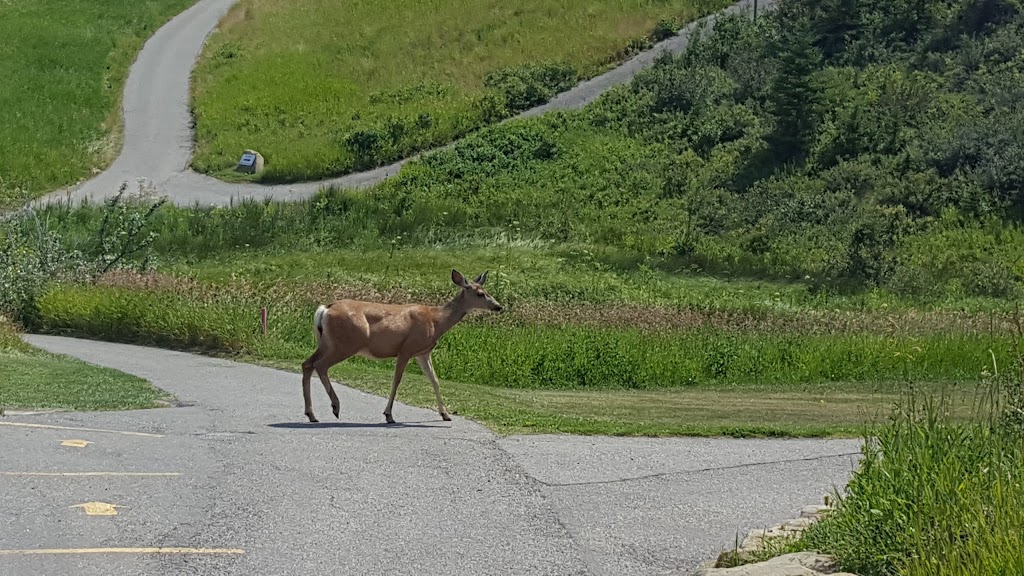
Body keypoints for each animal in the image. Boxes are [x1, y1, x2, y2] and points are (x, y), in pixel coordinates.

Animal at [299, 268, 503, 422]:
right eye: (480, 294)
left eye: (488, 291)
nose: (499, 307)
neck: (436, 321)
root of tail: (325, 309)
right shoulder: (406, 349)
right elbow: (396, 380)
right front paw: (388, 414)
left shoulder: (423, 352)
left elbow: (434, 380)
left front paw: (445, 414)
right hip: (346, 343)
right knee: (320, 365)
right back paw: (335, 406)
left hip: (326, 342)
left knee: (307, 364)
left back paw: (312, 414)